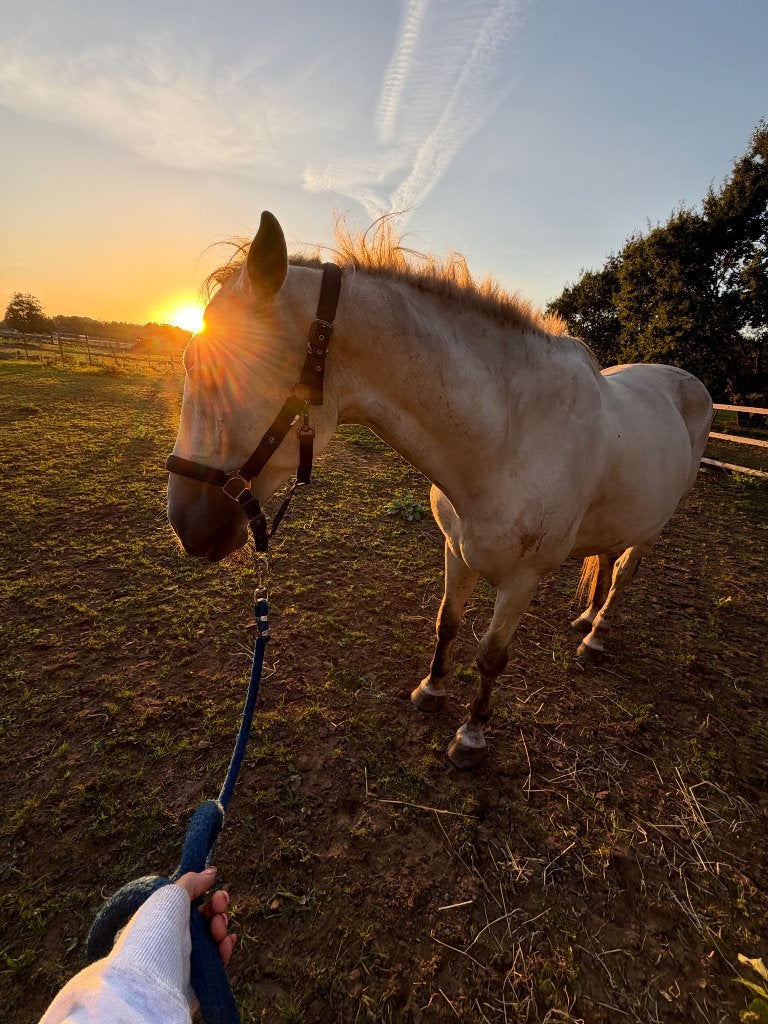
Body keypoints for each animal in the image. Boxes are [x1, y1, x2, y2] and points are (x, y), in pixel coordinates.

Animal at [167, 211, 713, 768]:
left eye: (226, 369)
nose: (187, 526)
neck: (510, 436)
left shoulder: (523, 580)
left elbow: (492, 656)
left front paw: (470, 736)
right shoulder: (455, 549)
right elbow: (446, 622)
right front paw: (430, 690)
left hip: (652, 527)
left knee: (623, 572)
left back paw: (597, 636)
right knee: (605, 559)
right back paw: (584, 620)